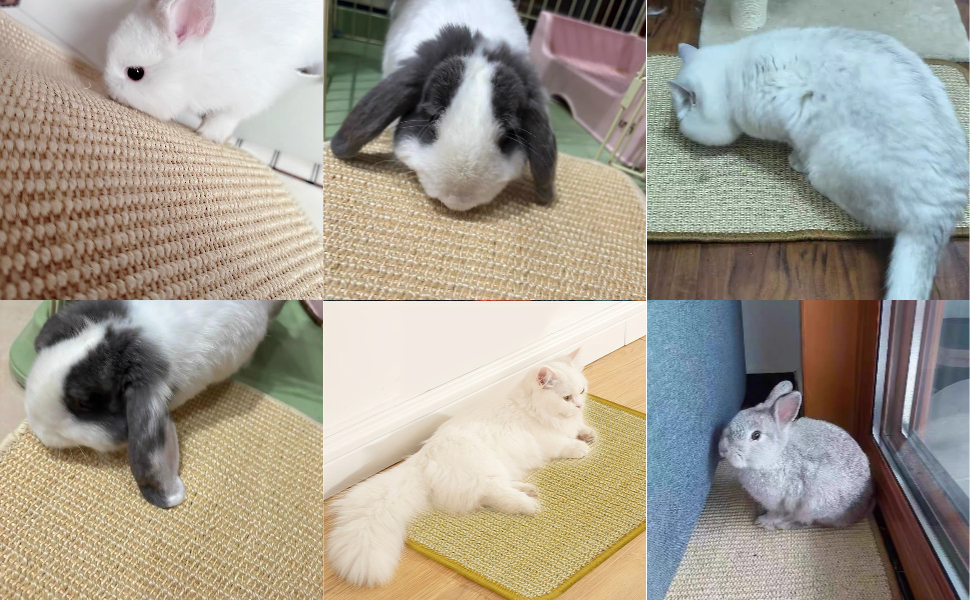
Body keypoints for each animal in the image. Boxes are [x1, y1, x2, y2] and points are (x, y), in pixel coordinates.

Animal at [718, 381, 874, 530]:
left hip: (813, 506)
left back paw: (783, 525)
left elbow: (776, 513)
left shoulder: (780, 502)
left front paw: (763, 522)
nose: (723, 449)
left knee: (807, 522)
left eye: (756, 435)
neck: (774, 457)